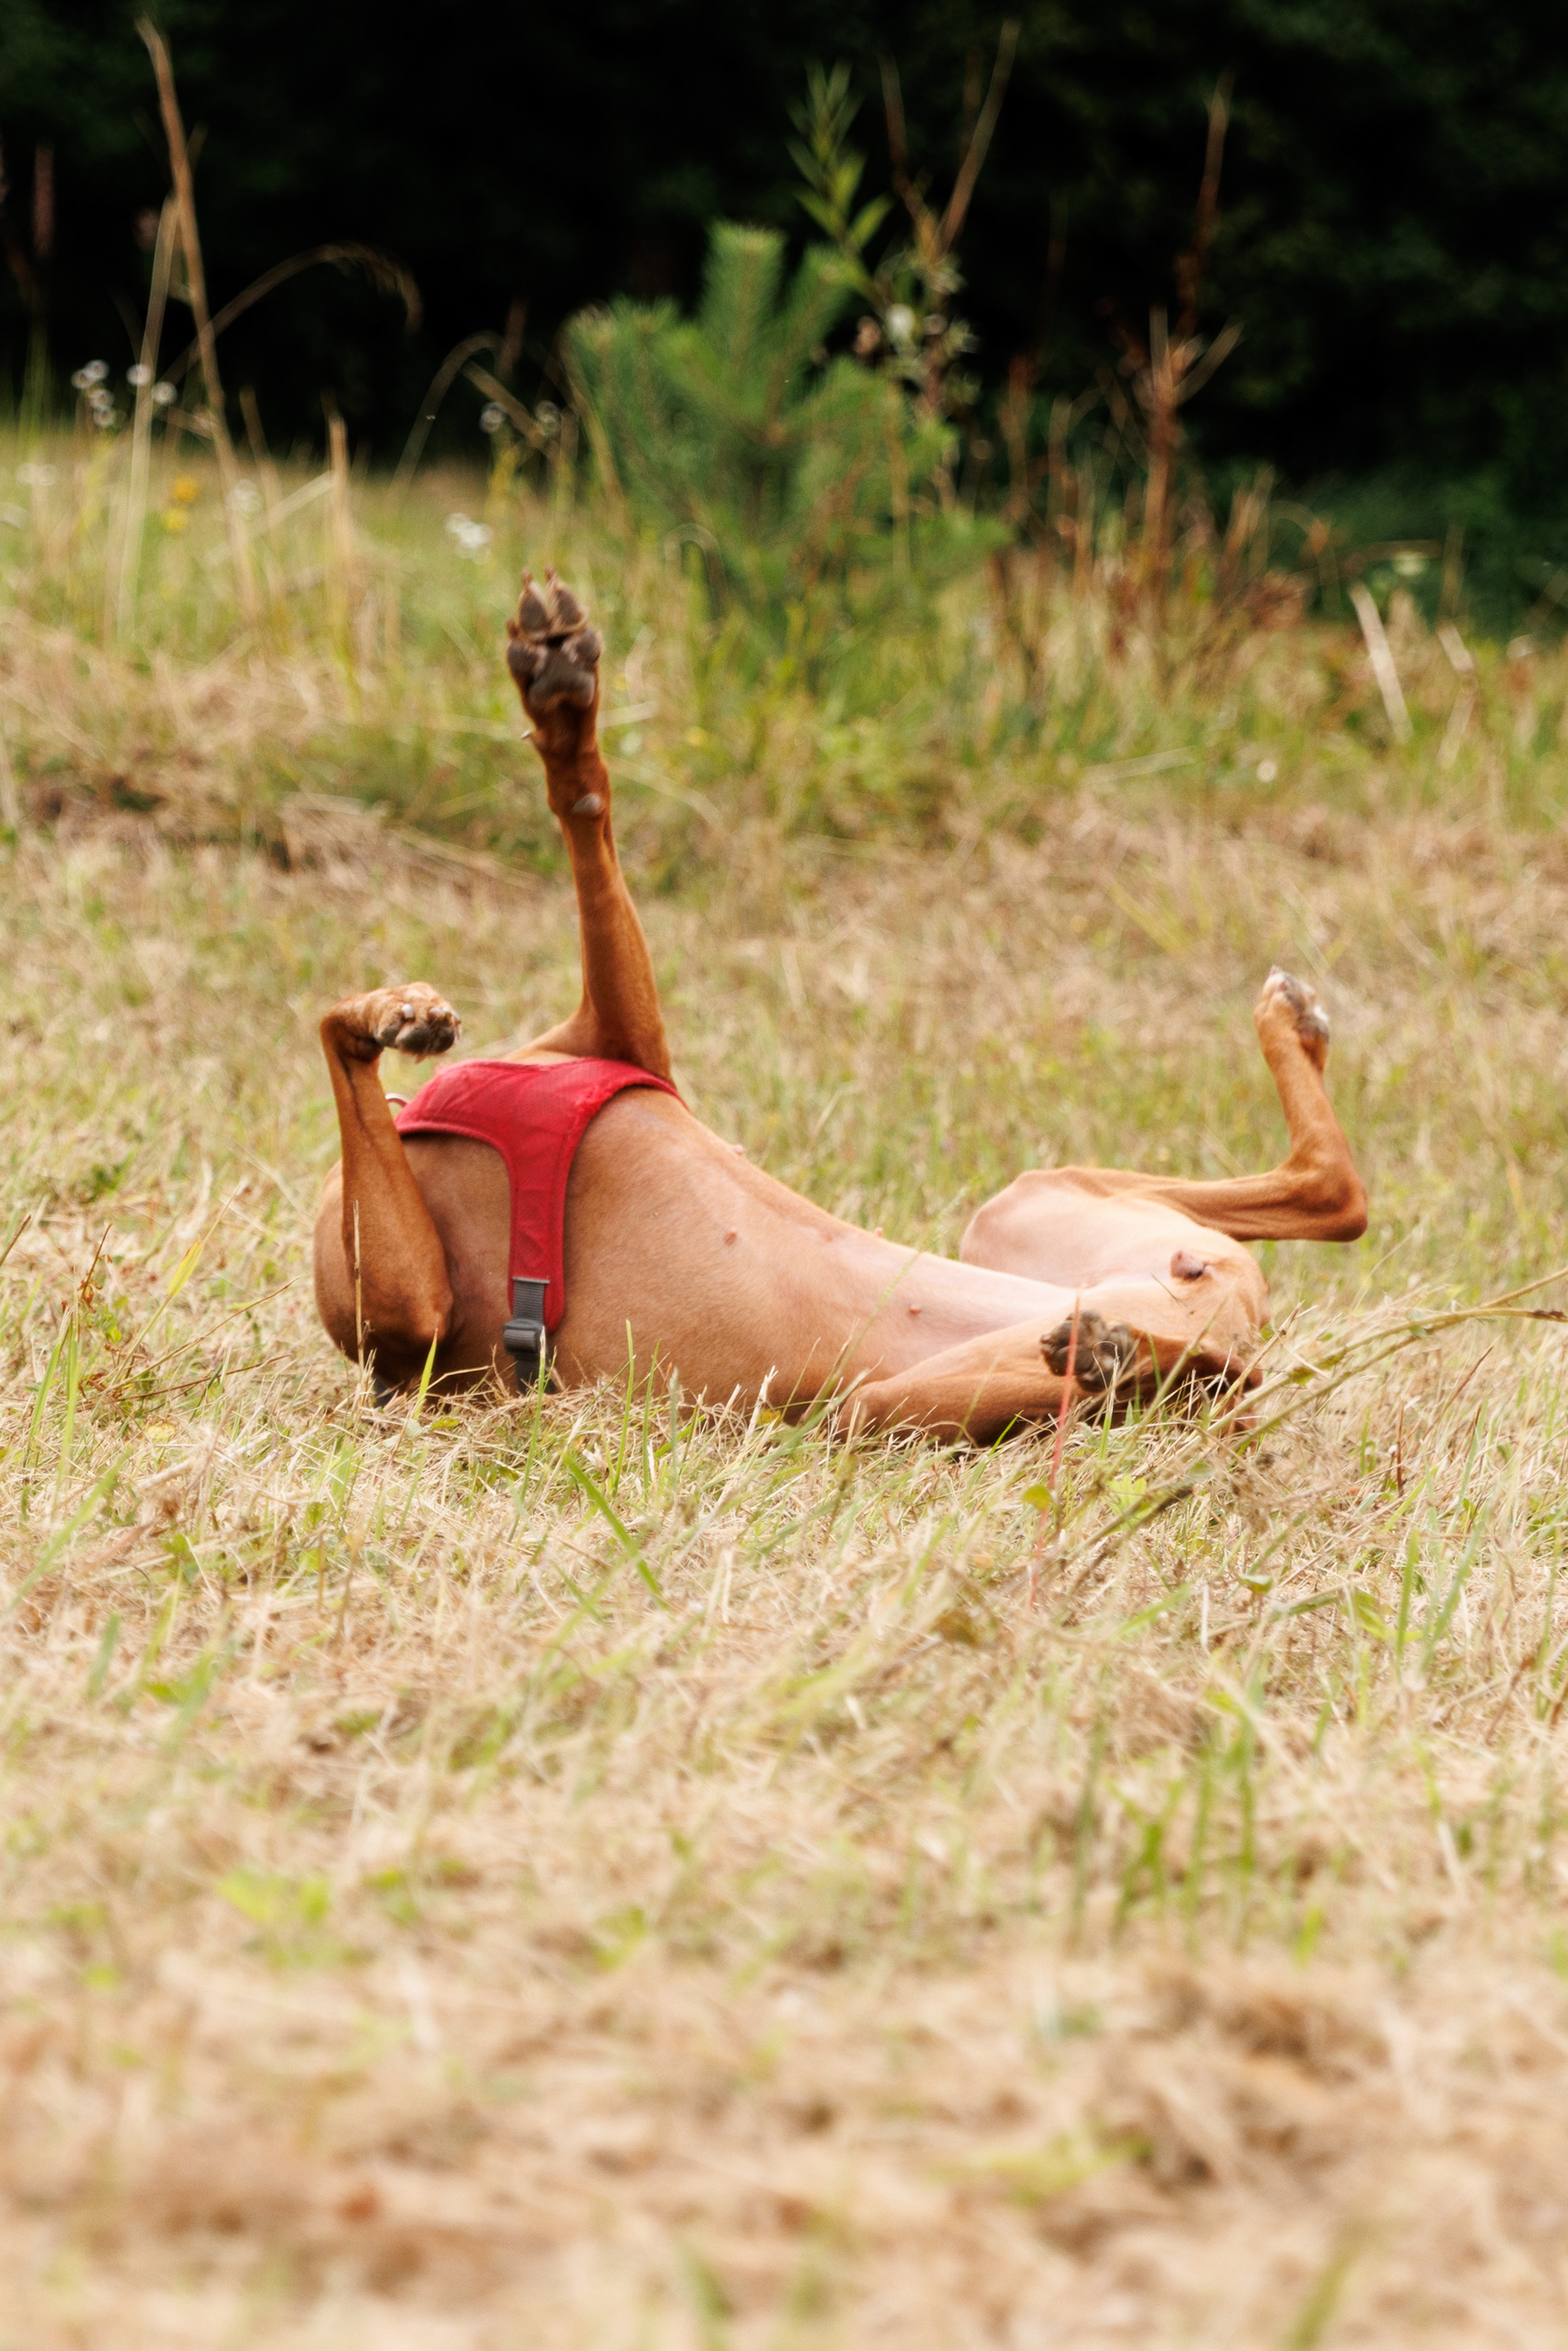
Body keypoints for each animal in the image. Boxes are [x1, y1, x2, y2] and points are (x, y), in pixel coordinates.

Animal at [313, 571, 1367, 1441]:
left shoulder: (605, 1054)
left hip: (963, 1313)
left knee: (1299, 1238)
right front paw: (397, 1006)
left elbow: (578, 820)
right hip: (992, 1278)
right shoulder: (426, 1304)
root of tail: (1234, 1335)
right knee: (1316, 1210)